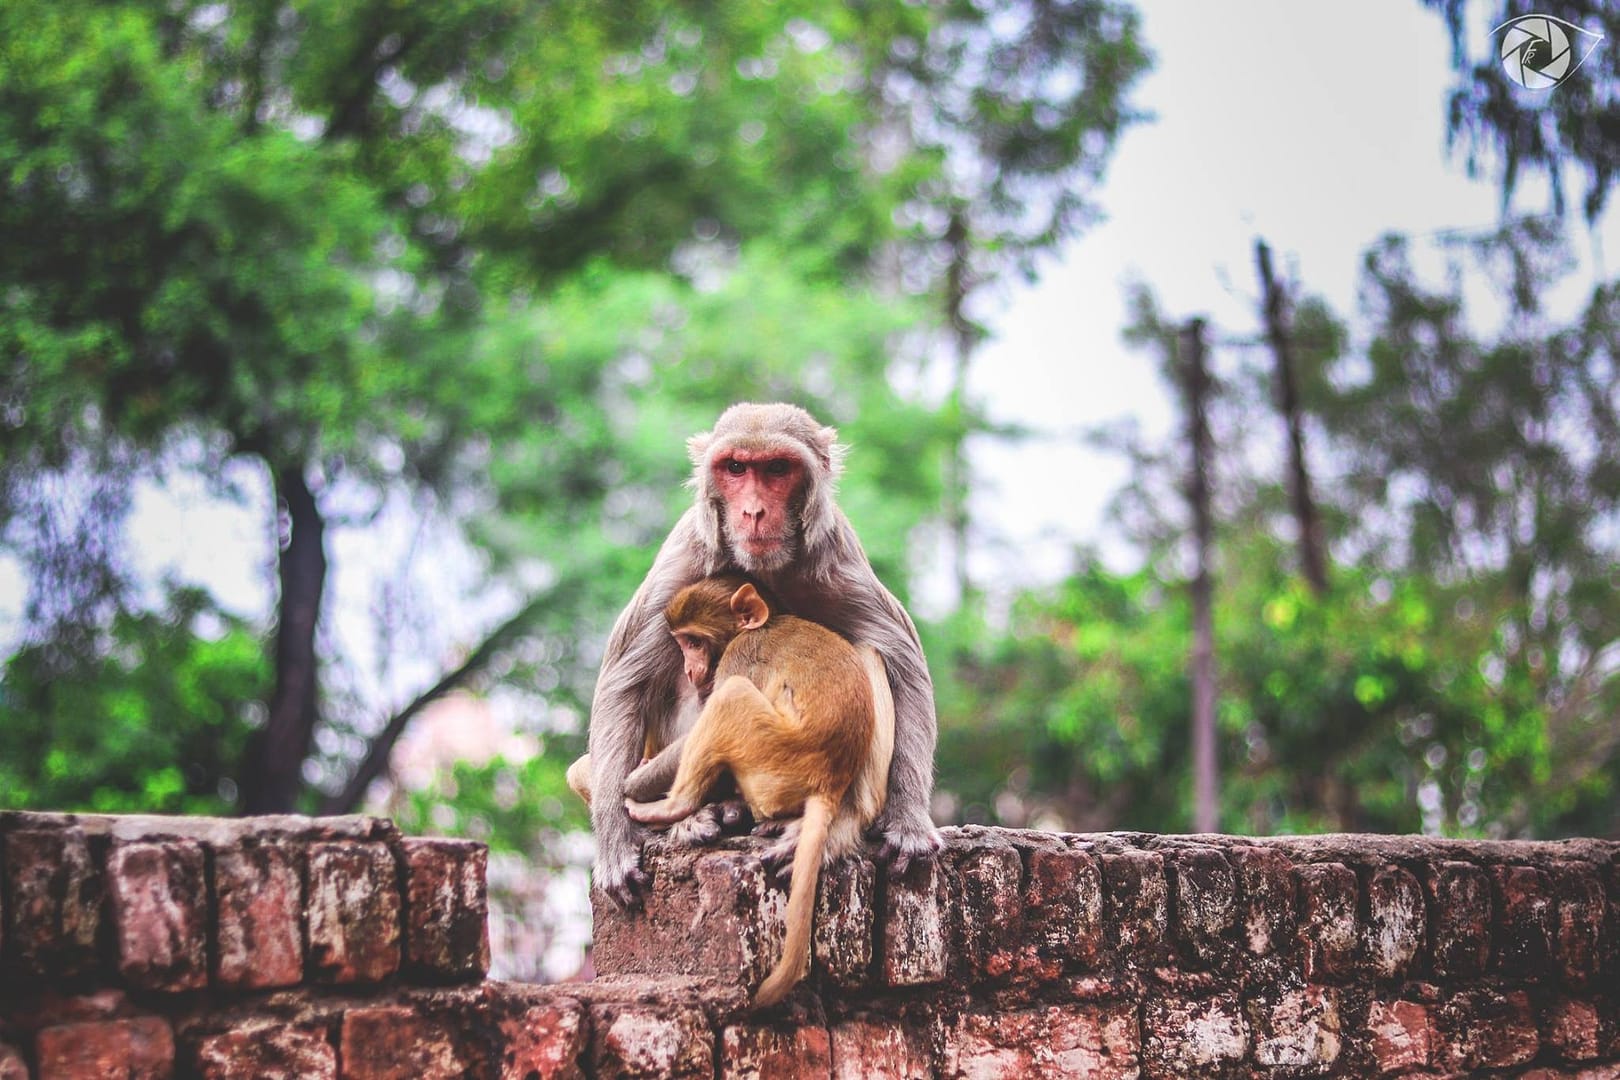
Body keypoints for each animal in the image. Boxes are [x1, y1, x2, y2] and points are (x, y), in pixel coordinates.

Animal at [577, 402, 940, 909]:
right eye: (735, 468)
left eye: (776, 469)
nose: (752, 511)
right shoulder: (685, 555)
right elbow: (624, 683)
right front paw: (615, 835)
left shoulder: (835, 555)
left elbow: (902, 659)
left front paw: (907, 821)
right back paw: (700, 815)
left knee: (868, 655)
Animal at [625, 574, 894, 1008]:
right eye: (681, 643)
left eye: (694, 642)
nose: (688, 667)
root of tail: (829, 783)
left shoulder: (740, 654)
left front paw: (631, 781)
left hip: (773, 755)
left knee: (732, 695)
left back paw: (672, 807)